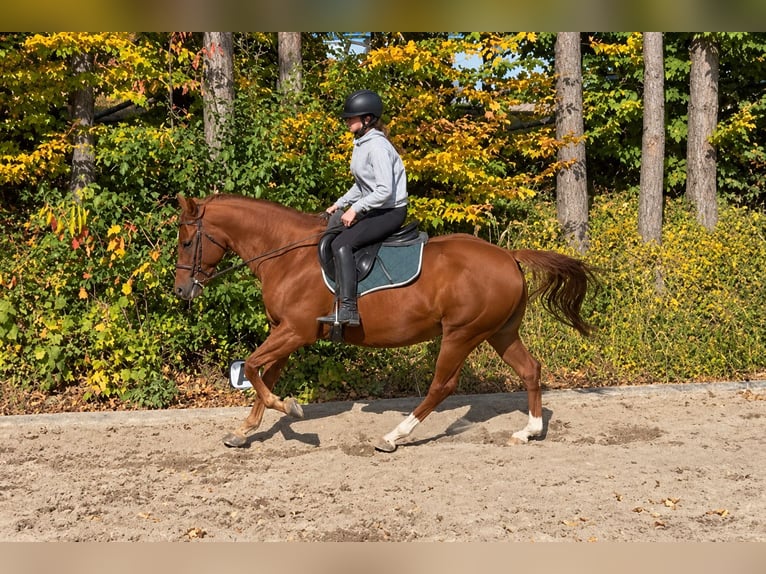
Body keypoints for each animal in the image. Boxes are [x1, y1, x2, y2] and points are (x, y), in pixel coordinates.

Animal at [173, 193, 596, 452]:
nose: (181, 290)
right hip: (500, 332)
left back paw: (394, 436)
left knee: (443, 385)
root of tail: (509, 256)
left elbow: (254, 368)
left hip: (462, 333)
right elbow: (263, 374)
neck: (287, 256)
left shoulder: (295, 331)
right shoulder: (284, 331)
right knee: (529, 369)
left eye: (185, 241)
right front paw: (244, 431)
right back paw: (529, 430)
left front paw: (290, 409)